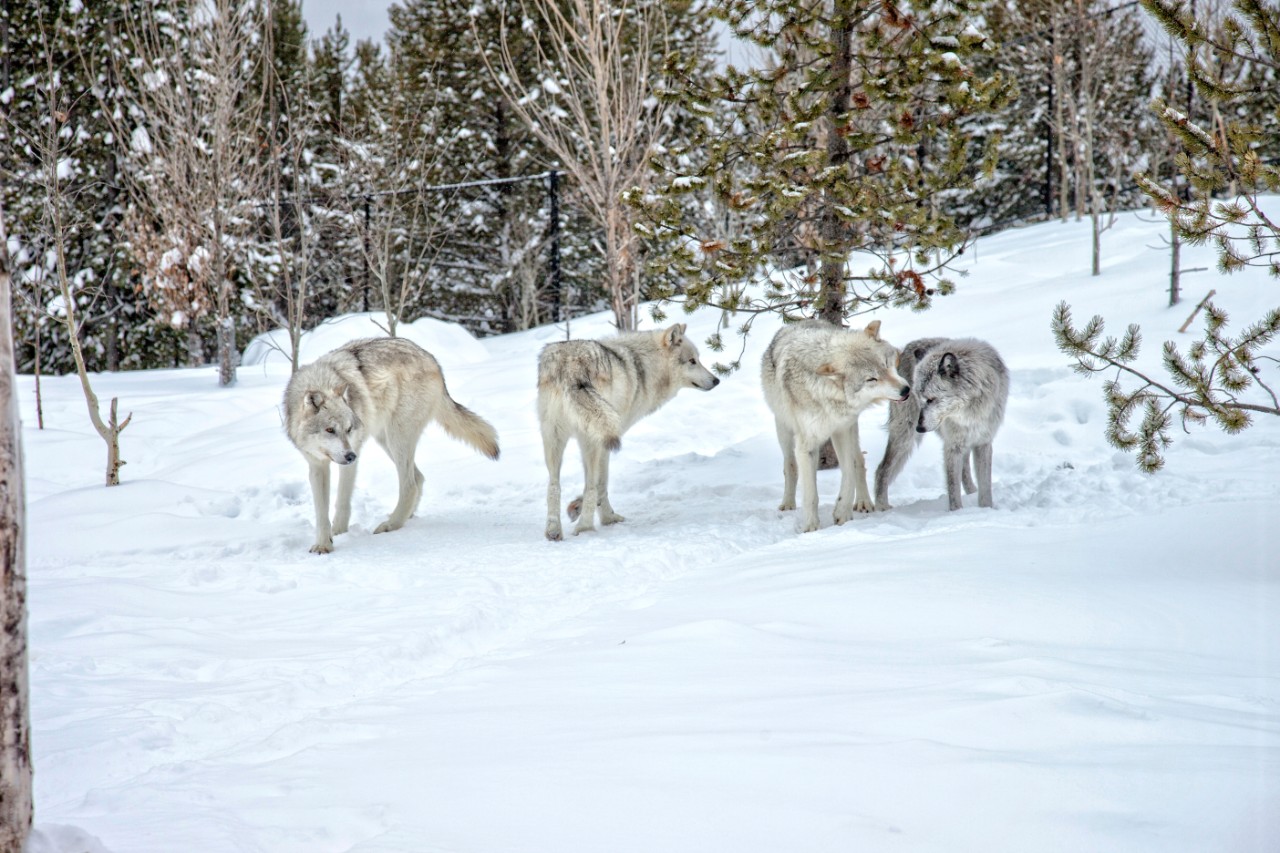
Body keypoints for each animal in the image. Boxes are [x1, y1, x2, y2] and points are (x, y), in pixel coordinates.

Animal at [285, 335, 499, 555]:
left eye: (349, 429)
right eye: (329, 430)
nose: (350, 456)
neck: (322, 380)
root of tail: (431, 359)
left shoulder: (352, 455)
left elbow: (342, 501)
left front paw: (338, 533)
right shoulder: (317, 466)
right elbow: (321, 511)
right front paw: (323, 543)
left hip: (397, 436)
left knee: (410, 484)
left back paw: (391, 524)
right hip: (385, 439)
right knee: (418, 478)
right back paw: (407, 517)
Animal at [537, 322, 721, 540]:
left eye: (698, 359)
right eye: (692, 361)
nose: (716, 380)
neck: (644, 368)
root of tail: (571, 365)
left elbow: (595, 485)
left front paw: (579, 508)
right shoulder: (606, 442)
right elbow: (601, 484)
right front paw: (607, 518)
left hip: (553, 440)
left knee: (553, 486)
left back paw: (553, 530)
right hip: (590, 440)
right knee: (589, 487)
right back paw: (584, 528)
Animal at [757, 318, 911, 532]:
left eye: (886, 365)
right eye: (871, 379)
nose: (906, 390)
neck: (828, 394)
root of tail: (798, 322)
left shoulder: (843, 430)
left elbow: (849, 473)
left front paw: (842, 513)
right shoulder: (806, 446)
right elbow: (810, 495)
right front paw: (811, 528)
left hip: (852, 429)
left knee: (859, 461)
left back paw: (863, 502)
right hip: (784, 431)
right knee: (790, 466)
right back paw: (787, 503)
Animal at [870, 335, 1008, 507]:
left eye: (930, 399)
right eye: (919, 398)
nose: (919, 428)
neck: (969, 414)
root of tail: (905, 348)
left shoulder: (983, 442)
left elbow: (985, 488)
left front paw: (986, 509)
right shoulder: (952, 446)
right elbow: (953, 491)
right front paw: (958, 511)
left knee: (965, 470)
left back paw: (972, 492)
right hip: (905, 438)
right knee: (881, 470)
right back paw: (882, 508)